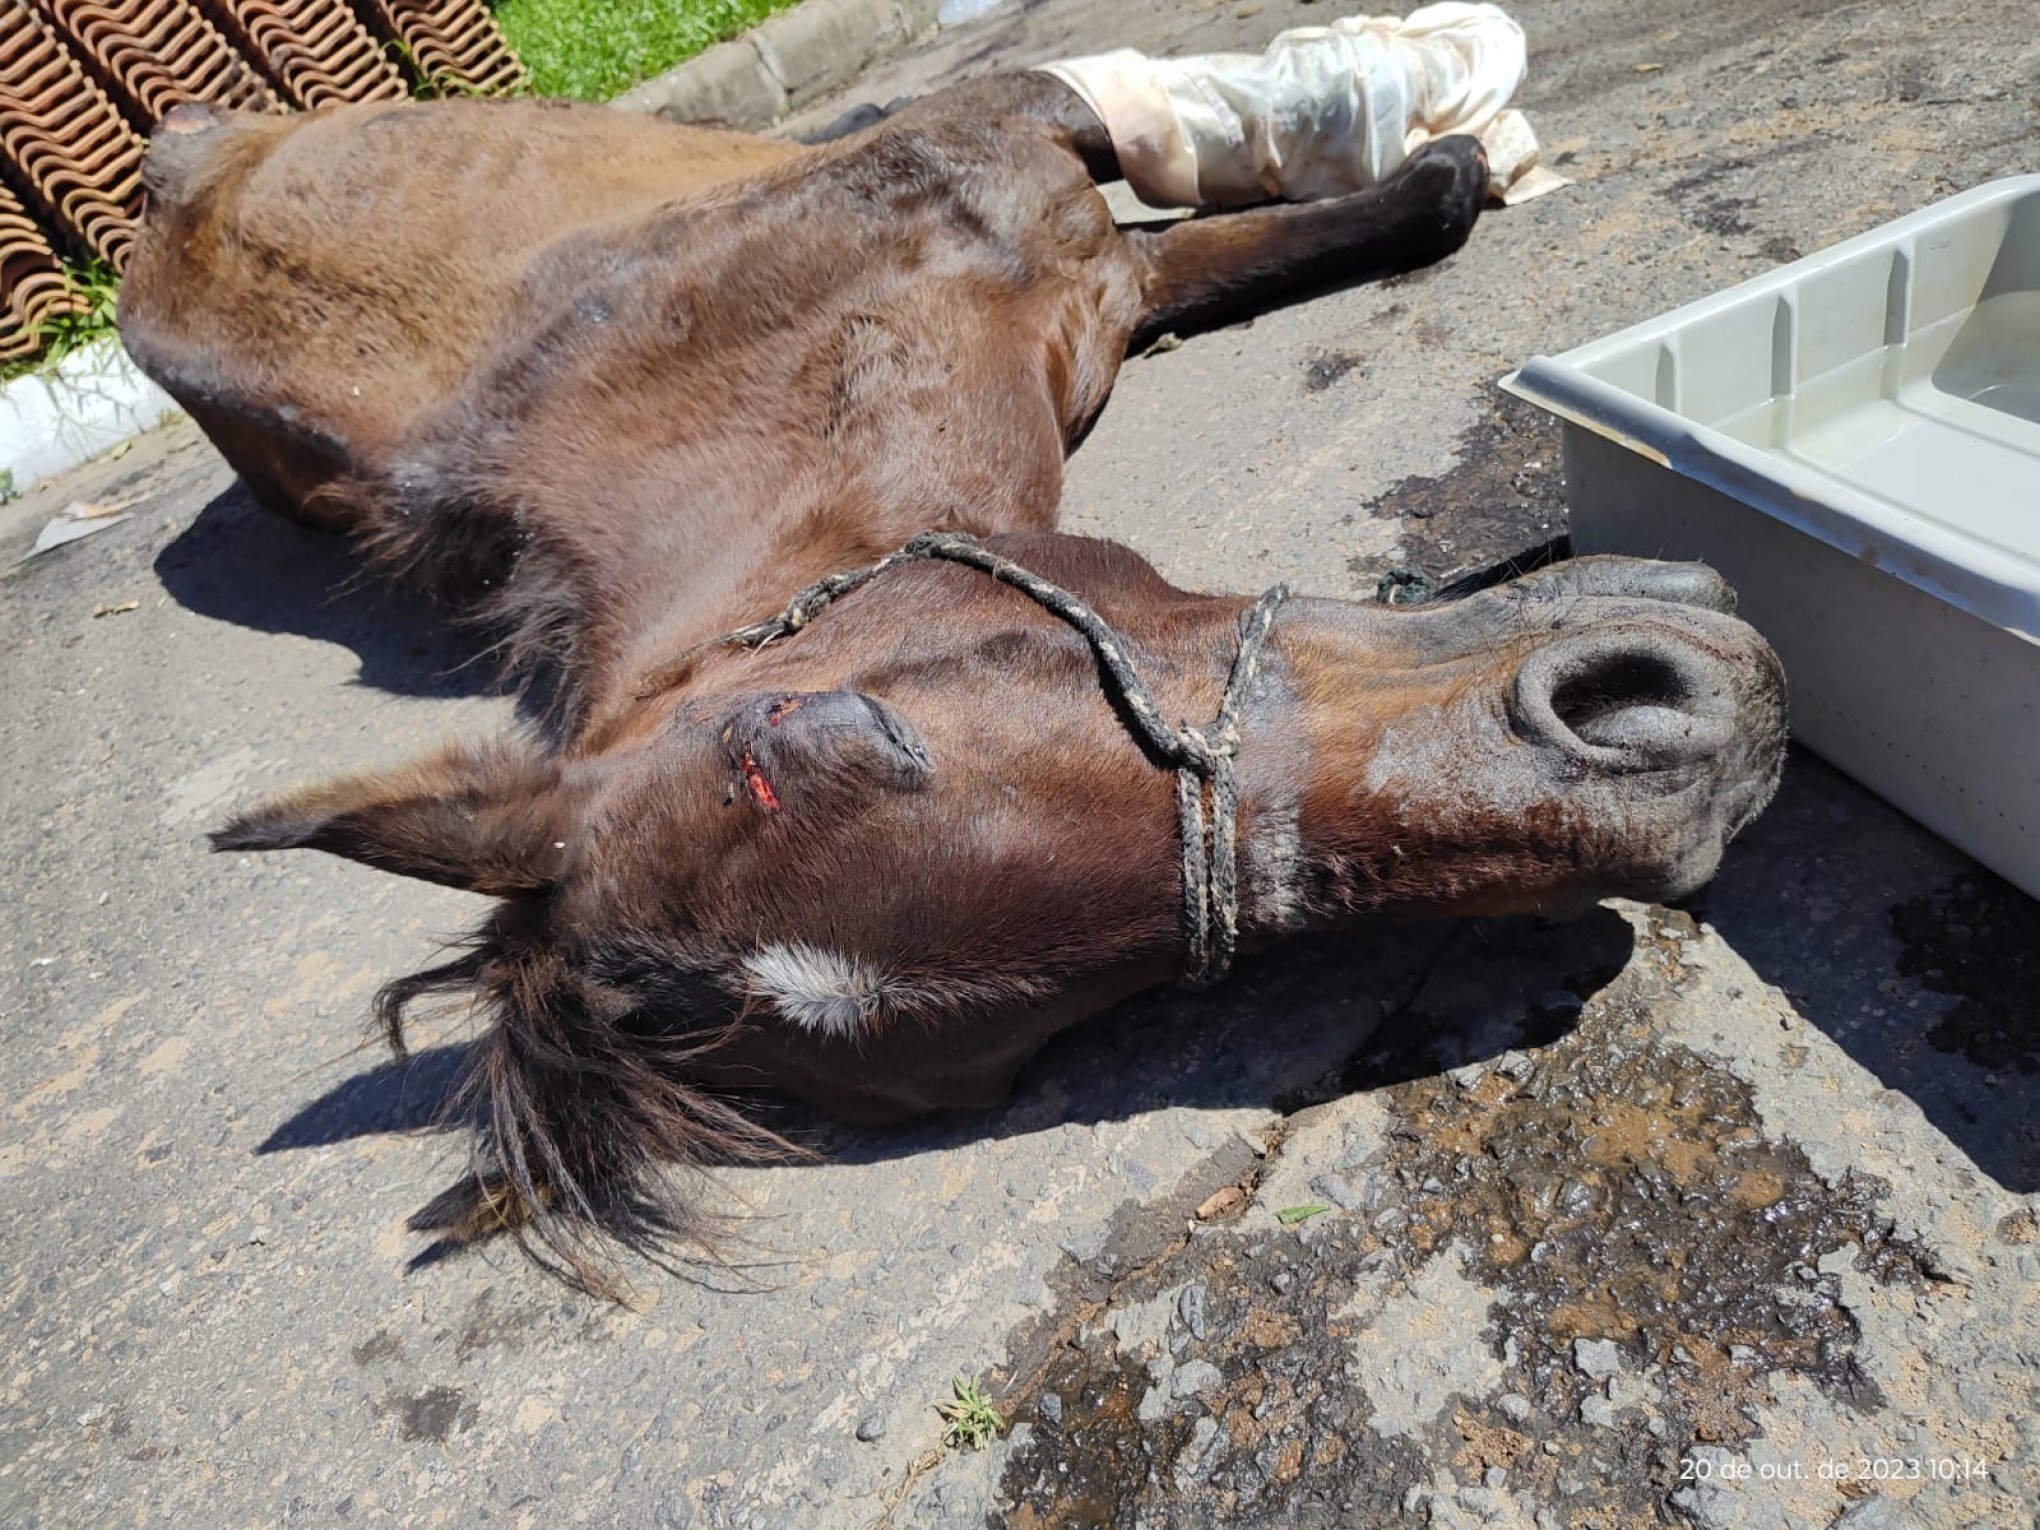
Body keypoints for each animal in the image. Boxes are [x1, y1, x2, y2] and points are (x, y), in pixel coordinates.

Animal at [123, 71, 1787, 1297]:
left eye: (817, 728)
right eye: (1034, 1041)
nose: (1676, 759)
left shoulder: (1044, 176)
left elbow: (1385, 188)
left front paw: (1417, 127)